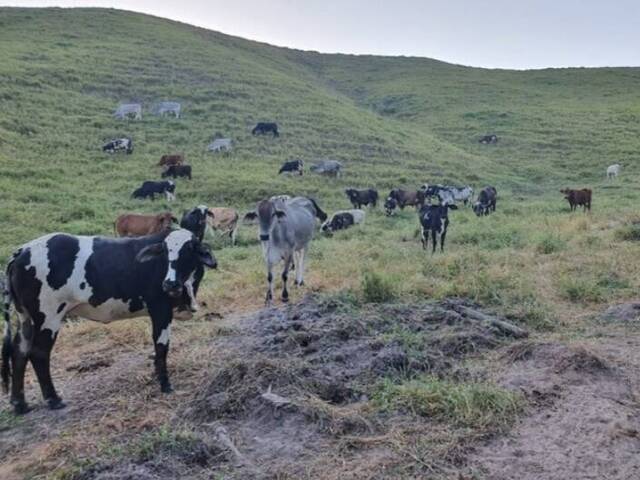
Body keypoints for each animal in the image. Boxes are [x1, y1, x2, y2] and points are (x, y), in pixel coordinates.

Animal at [0, 229, 218, 412]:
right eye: (165, 252)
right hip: (48, 316)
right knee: (38, 353)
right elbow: (161, 348)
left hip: (25, 317)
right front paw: (165, 385)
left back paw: (19, 403)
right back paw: (53, 399)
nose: (170, 284)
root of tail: (22, 250)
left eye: (189, 250)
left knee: (19, 351)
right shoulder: (160, 309)